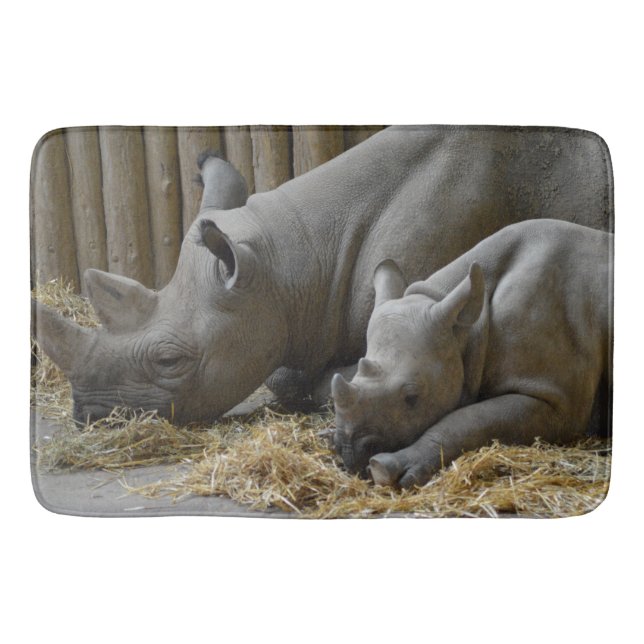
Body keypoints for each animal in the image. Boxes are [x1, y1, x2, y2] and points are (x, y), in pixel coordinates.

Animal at [331, 219, 613, 487]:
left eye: (412, 398)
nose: (349, 450)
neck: (468, 328)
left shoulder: (556, 398)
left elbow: (471, 419)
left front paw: (386, 470)